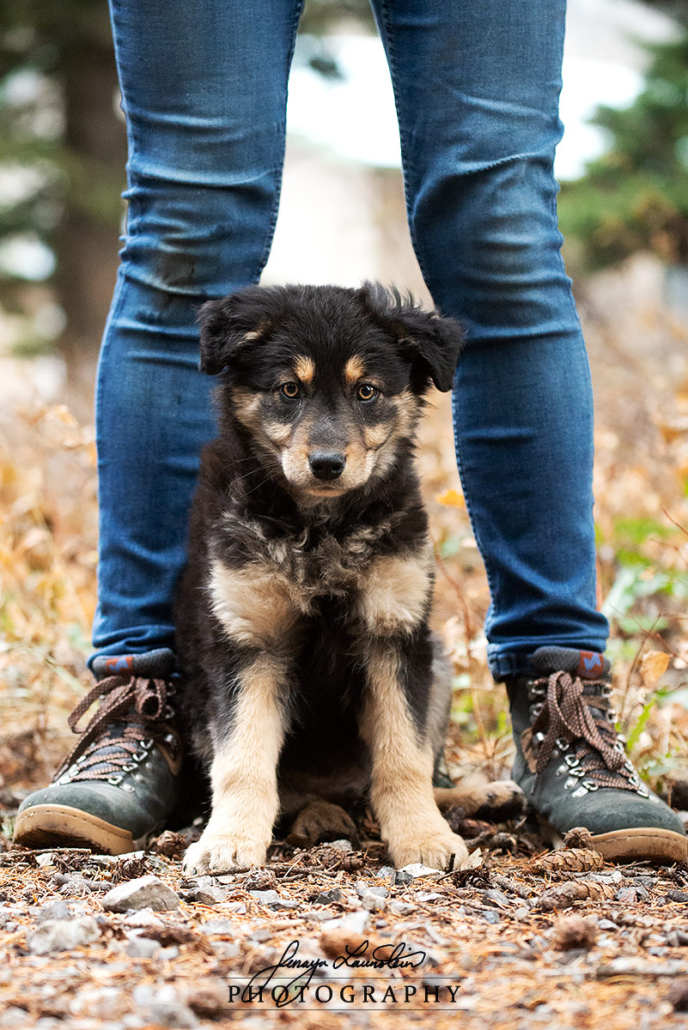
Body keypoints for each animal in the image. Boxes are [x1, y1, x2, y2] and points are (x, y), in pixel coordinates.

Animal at [175, 282, 523, 874]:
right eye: (289, 389)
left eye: (366, 391)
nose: (327, 464)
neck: (320, 530)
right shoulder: (248, 643)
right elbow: (243, 757)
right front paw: (229, 841)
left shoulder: (393, 633)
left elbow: (404, 756)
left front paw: (424, 838)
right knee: (299, 792)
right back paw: (321, 817)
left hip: (437, 661)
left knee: (405, 771)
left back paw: (479, 796)